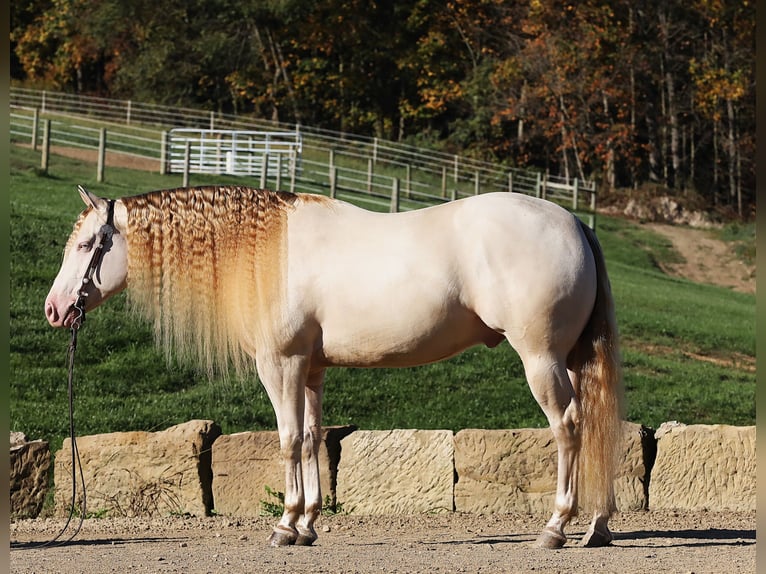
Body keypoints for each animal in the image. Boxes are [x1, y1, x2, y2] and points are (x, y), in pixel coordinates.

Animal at [45, 187, 624, 552]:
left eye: (86, 244)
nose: (54, 309)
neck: (264, 253)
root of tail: (574, 221)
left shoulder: (280, 365)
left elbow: (287, 441)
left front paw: (285, 526)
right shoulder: (311, 370)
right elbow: (311, 438)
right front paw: (308, 524)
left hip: (541, 359)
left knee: (569, 428)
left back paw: (556, 527)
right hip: (572, 360)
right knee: (597, 426)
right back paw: (597, 527)